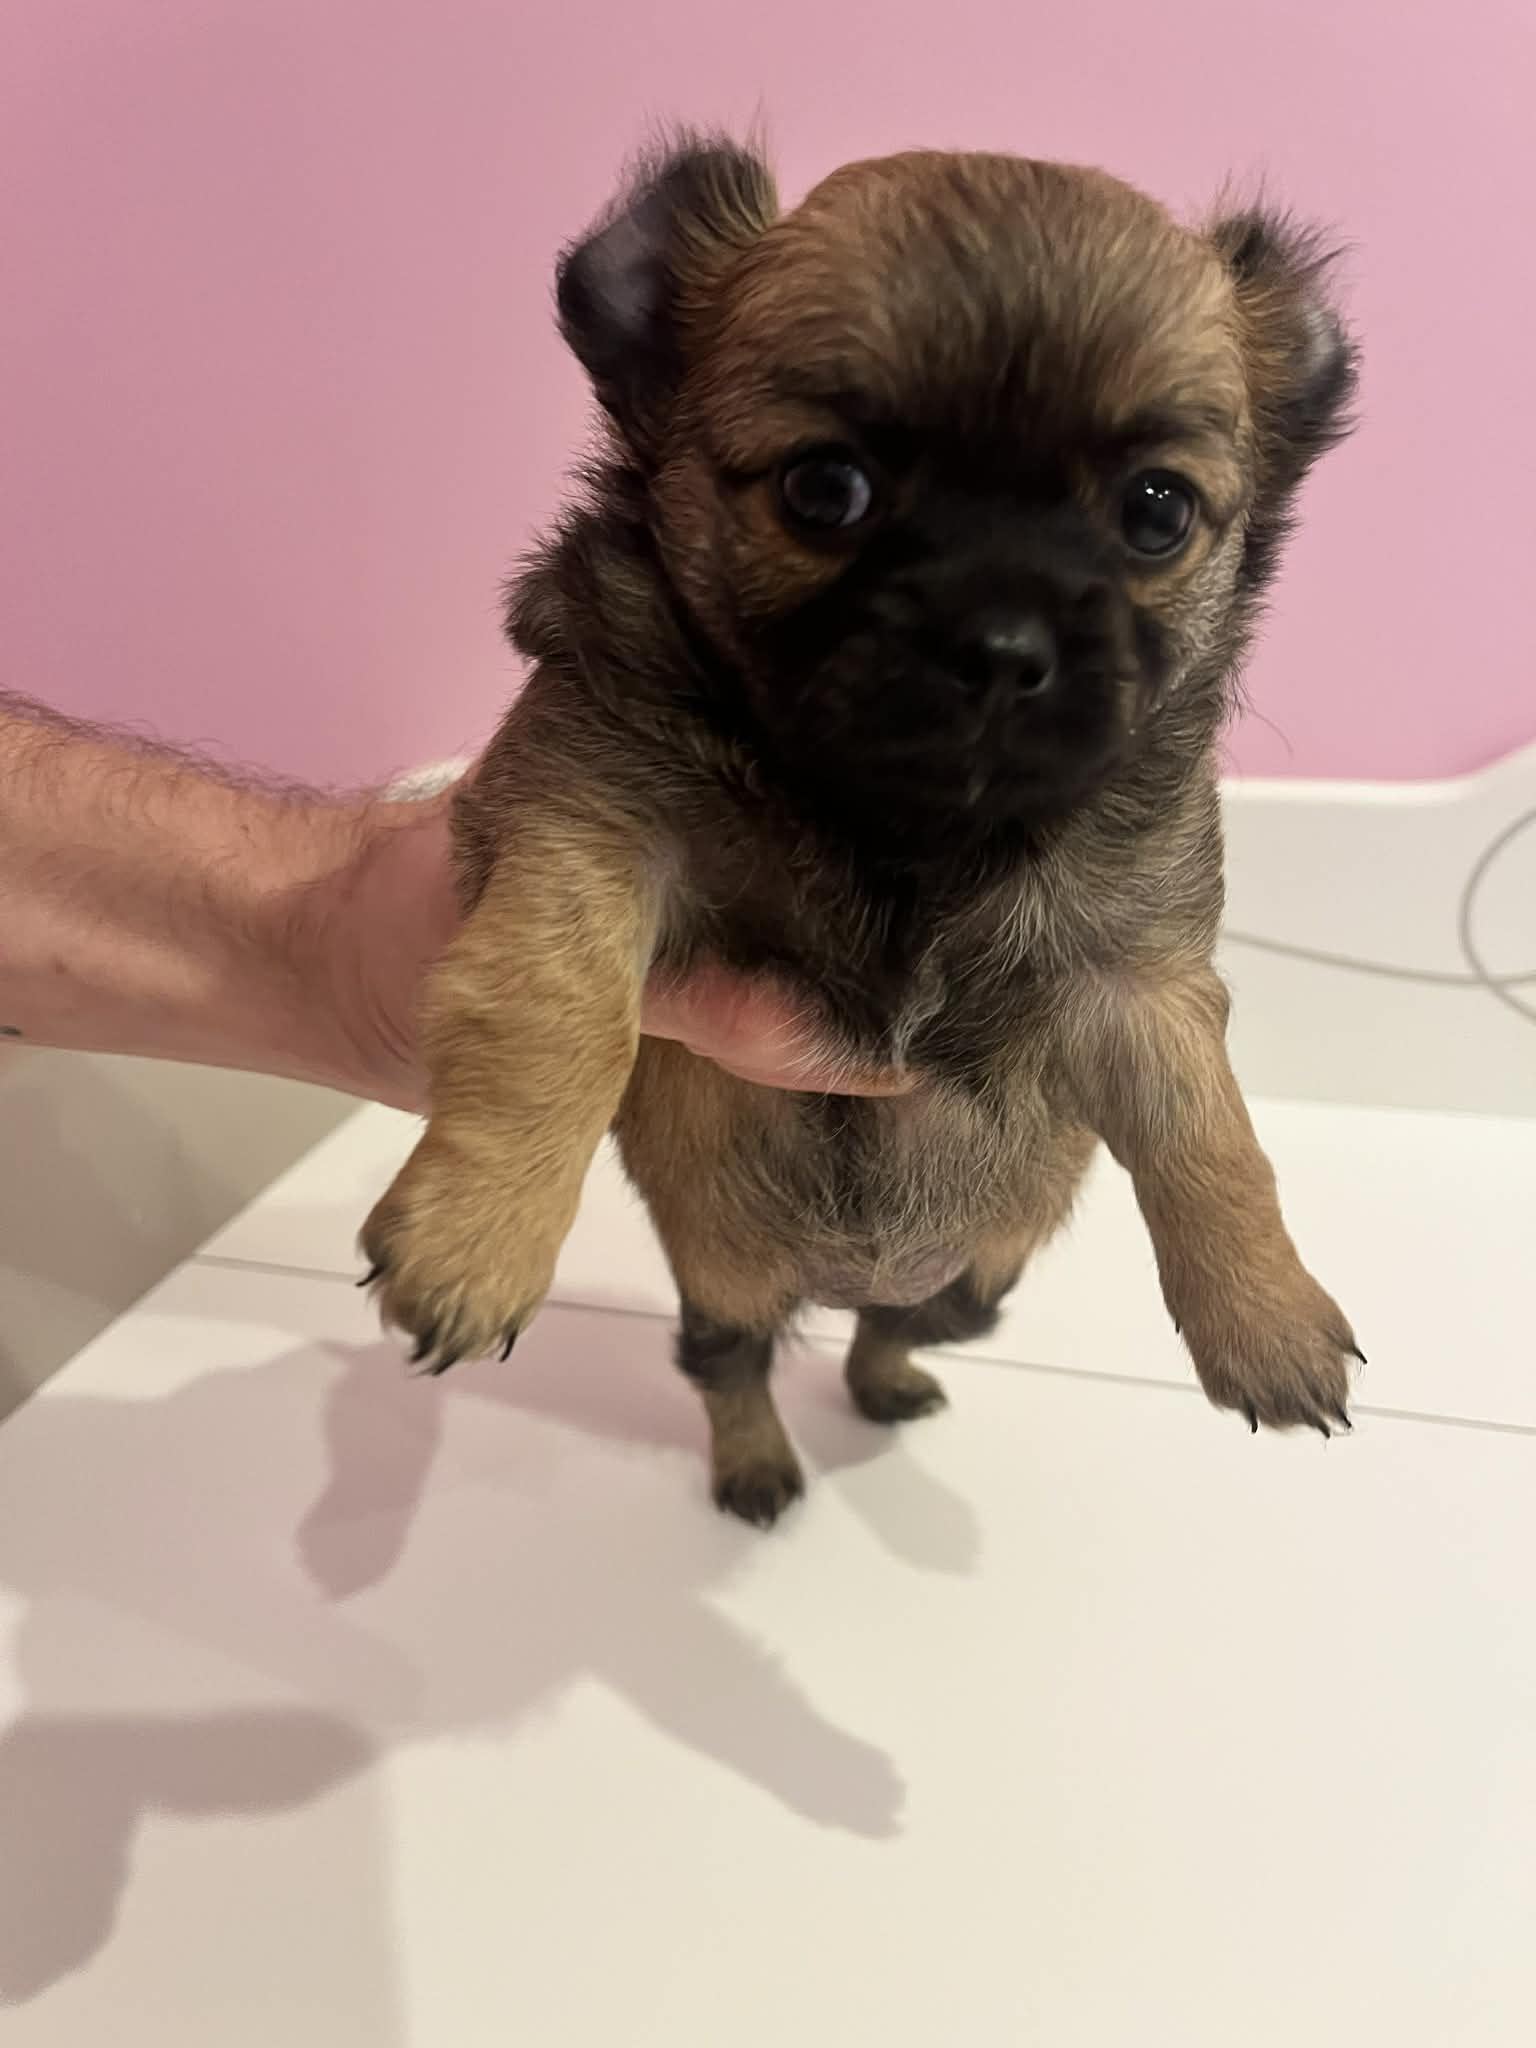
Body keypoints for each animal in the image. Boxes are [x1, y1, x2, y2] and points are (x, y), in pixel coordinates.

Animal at [361, 135, 1362, 1526]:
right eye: (825, 488)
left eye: (1158, 512)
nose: (1002, 647)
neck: (909, 827)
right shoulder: (586, 827)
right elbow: (553, 1019)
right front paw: (479, 1232)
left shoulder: (1136, 973)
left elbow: (1208, 1133)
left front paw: (1270, 1318)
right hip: (726, 1284)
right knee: (730, 1364)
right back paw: (756, 1466)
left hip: (977, 1283)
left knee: (893, 1327)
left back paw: (887, 1381)